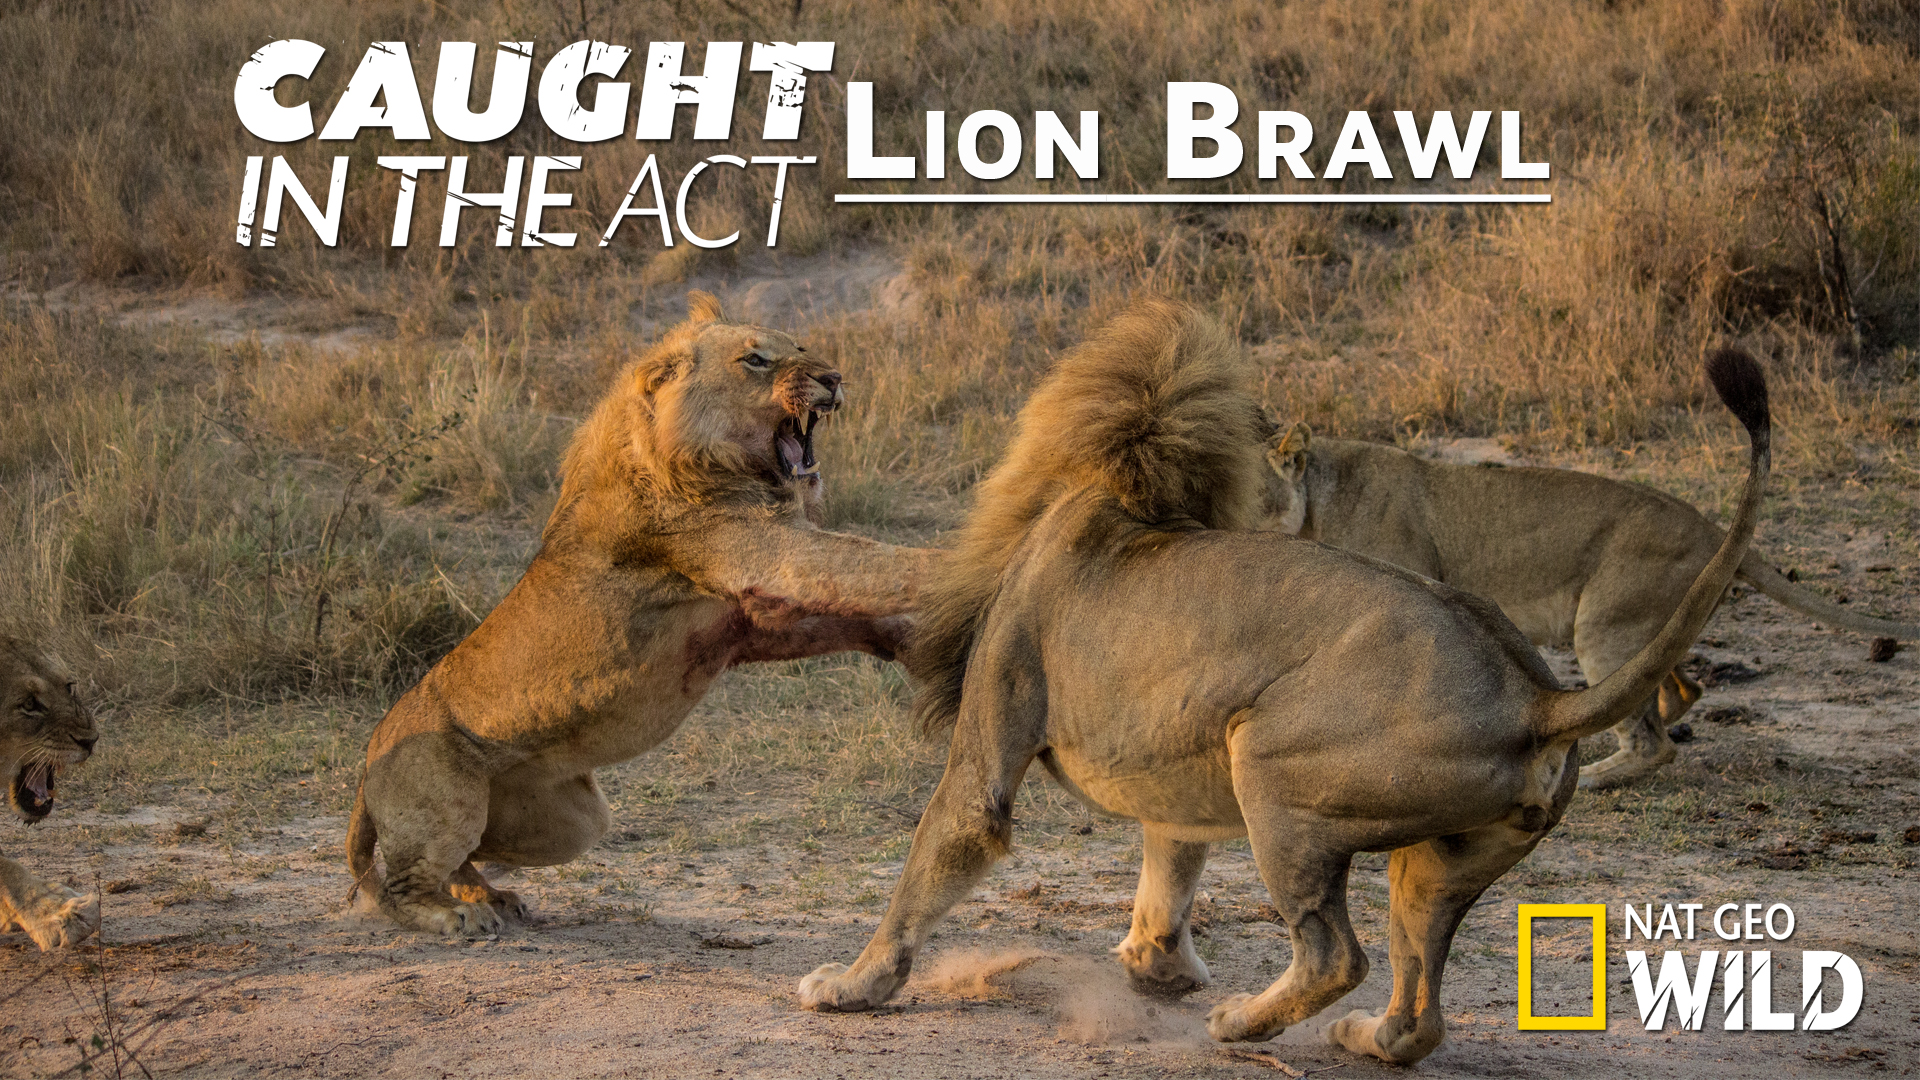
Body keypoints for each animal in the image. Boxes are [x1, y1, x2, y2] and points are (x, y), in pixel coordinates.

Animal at [347, 292, 934, 935]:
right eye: (755, 359)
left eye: (800, 346)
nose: (833, 378)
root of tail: (367, 766)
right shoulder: (761, 552)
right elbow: (874, 560)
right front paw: (961, 565)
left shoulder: (740, 623)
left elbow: (843, 607)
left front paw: (907, 637)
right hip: (447, 800)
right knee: (403, 884)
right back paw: (456, 917)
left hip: (573, 822)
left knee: (470, 856)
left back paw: (492, 897)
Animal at [796, 299, 1772, 1067]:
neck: (1120, 495)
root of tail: (1539, 693)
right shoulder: (1174, 766)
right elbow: (1170, 865)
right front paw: (1155, 966)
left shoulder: (995, 733)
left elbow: (936, 852)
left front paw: (851, 984)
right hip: (1444, 859)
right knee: (1419, 1009)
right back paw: (1360, 1038)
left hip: (1267, 765)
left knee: (1336, 955)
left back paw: (1239, 1024)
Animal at [1258, 423, 1918, 788]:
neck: (1317, 500)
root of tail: (1711, 527)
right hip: (1644, 626)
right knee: (1680, 689)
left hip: (1602, 626)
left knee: (1655, 742)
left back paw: (1599, 775)